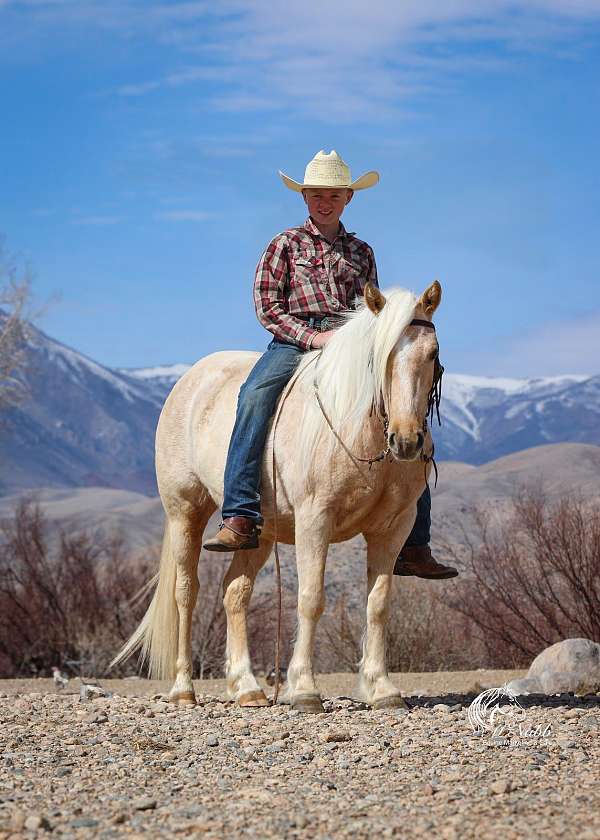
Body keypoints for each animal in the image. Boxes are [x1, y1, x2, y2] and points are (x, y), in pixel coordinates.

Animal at [112, 280, 442, 712]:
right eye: (379, 355)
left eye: (432, 353)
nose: (406, 441)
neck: (358, 430)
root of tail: (190, 380)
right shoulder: (315, 520)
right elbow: (311, 598)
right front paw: (304, 689)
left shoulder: (392, 528)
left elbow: (379, 604)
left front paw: (382, 689)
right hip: (184, 512)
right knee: (186, 593)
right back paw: (184, 689)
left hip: (258, 533)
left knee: (235, 593)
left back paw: (247, 687)